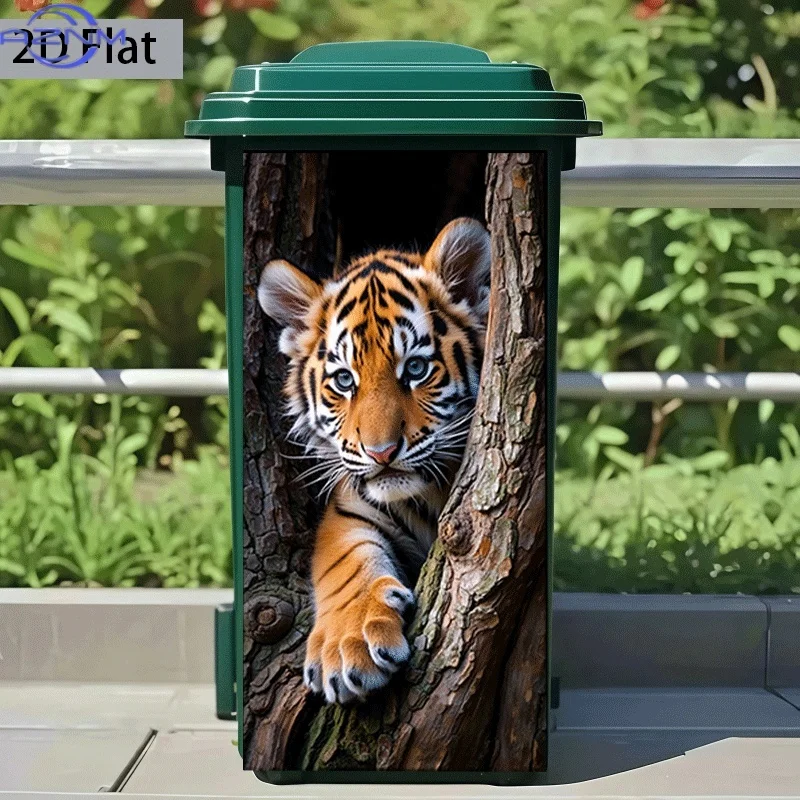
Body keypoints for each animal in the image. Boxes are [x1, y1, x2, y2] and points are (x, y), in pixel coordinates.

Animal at [257, 217, 490, 704]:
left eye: (416, 369)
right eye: (345, 380)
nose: (381, 452)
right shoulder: (349, 509)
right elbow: (346, 564)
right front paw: (347, 649)